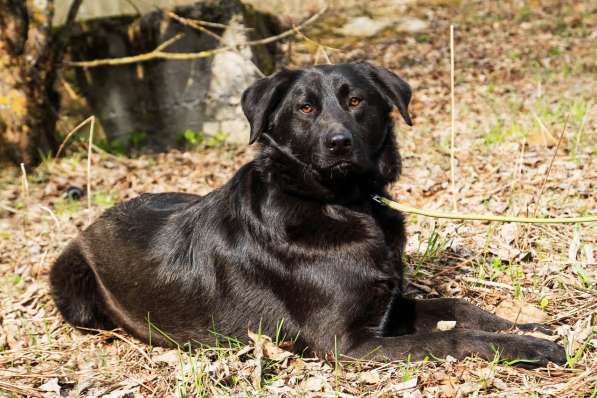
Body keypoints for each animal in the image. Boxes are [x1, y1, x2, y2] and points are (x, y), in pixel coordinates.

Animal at [50, 63, 564, 366]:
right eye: (305, 107)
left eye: (356, 100)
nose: (339, 143)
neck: (342, 204)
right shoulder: (349, 345)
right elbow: (452, 338)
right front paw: (530, 346)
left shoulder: (388, 305)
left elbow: (459, 308)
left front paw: (527, 325)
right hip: (71, 284)